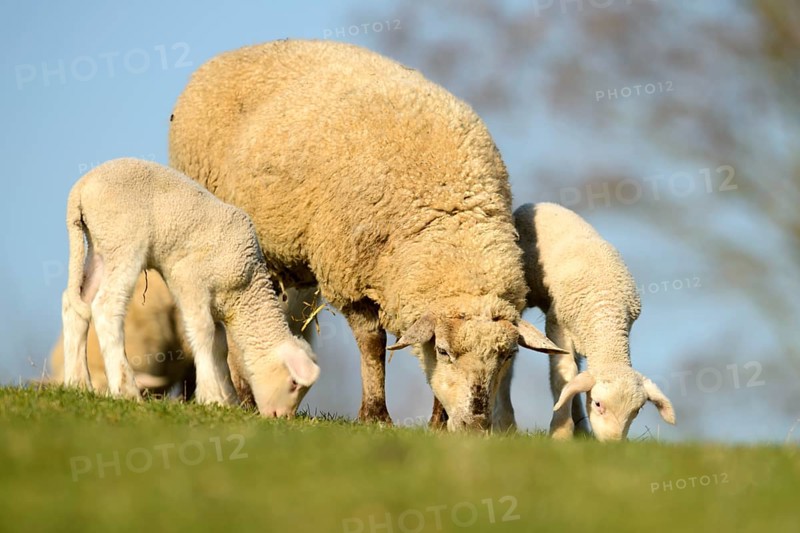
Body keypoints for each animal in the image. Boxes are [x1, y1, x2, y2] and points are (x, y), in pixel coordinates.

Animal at [61, 158, 320, 416]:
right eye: (294, 383)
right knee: (106, 306)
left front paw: (228, 399)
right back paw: (126, 390)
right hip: (124, 241)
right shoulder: (190, 278)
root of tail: (81, 187)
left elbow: (220, 346)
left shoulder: (217, 305)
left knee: (75, 304)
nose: (281, 418)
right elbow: (203, 333)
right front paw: (211, 396)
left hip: (100, 247)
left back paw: (78, 383)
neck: (246, 289)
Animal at [168, 39, 566, 431]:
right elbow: (372, 343)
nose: (476, 424)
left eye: (507, 355)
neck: (449, 211)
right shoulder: (350, 277)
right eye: (444, 351)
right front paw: (375, 414)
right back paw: (245, 399)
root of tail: (229, 55)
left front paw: (437, 424)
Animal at [506, 202, 675, 440]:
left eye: (636, 411)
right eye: (597, 404)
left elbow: (574, 380)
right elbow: (564, 376)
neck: (606, 314)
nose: (613, 444)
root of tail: (535, 204)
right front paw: (560, 434)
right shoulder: (557, 324)